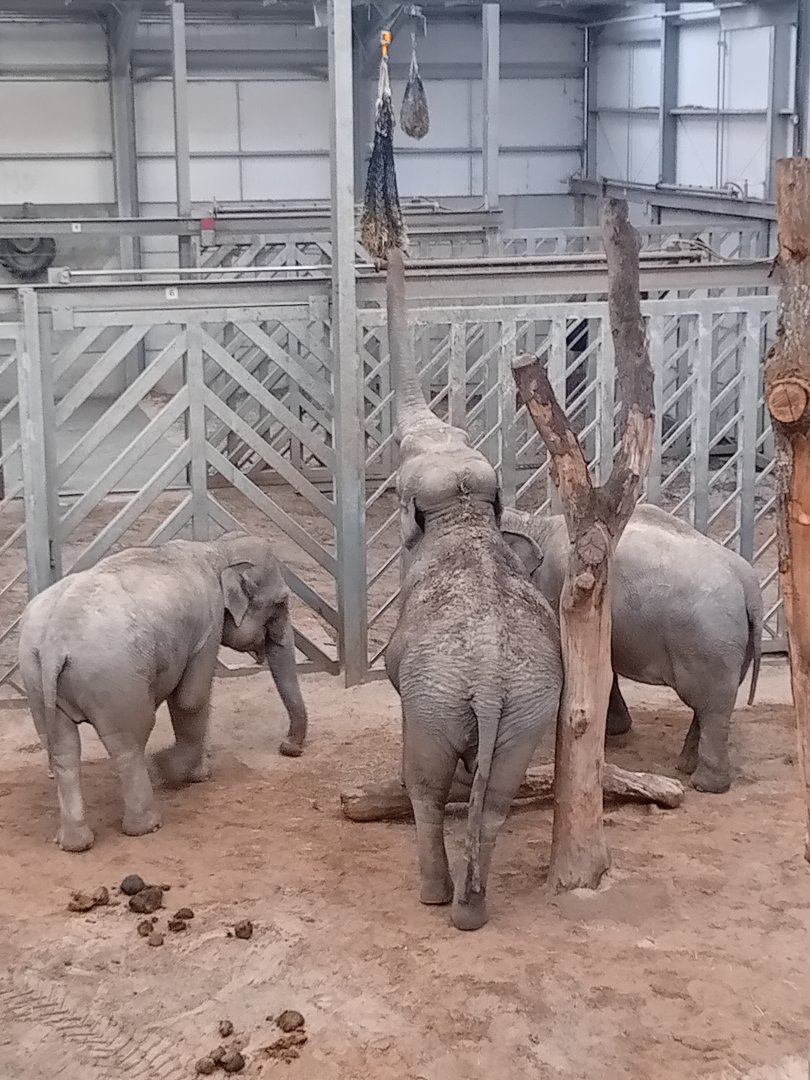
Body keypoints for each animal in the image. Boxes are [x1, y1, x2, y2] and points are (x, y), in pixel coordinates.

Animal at [17, 532, 308, 852]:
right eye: (281, 601)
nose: (288, 748)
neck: (216, 549)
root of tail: (55, 641)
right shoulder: (208, 624)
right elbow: (191, 698)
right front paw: (177, 770)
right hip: (116, 679)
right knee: (128, 742)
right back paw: (147, 824)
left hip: (35, 678)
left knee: (63, 750)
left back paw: (74, 843)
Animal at [382, 248, 563, 931]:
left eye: (399, 459)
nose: (391, 245)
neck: (463, 512)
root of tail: (486, 685)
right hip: (526, 714)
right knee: (498, 799)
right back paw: (472, 909)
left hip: (434, 705)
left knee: (426, 787)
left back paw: (437, 896)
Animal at [500, 504, 763, 793]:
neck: (534, 524)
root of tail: (749, 584)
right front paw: (615, 729)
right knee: (710, 704)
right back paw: (685, 767)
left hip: (710, 641)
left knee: (711, 707)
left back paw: (704, 785)